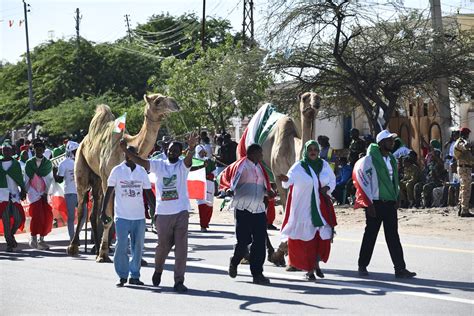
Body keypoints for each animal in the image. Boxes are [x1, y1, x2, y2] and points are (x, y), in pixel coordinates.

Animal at [65, 94, 179, 262]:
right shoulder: (108, 179)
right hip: (82, 169)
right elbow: (109, 218)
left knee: (94, 213)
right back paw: (74, 248)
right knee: (81, 208)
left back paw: (95, 248)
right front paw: (104, 254)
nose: (176, 104)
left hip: (97, 180)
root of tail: (83, 142)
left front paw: (138, 258)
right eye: (158, 100)